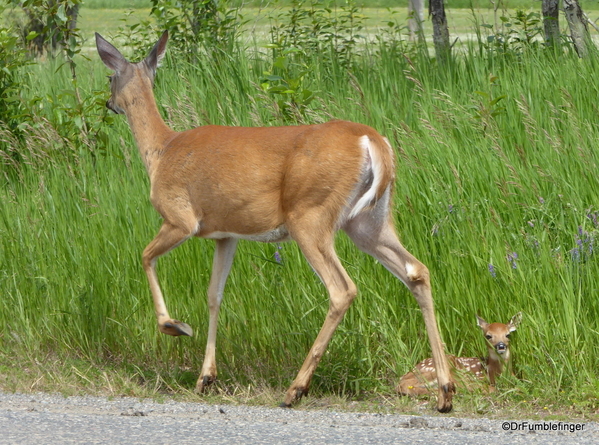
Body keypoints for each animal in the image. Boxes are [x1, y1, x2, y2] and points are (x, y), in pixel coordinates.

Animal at [95, 30, 454, 412]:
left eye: (110, 78)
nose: (110, 104)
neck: (161, 151)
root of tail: (373, 141)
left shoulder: (181, 218)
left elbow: (145, 256)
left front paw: (174, 326)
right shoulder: (226, 234)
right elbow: (214, 294)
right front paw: (206, 377)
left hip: (310, 215)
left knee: (342, 289)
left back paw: (295, 389)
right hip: (369, 222)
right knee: (417, 271)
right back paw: (445, 392)